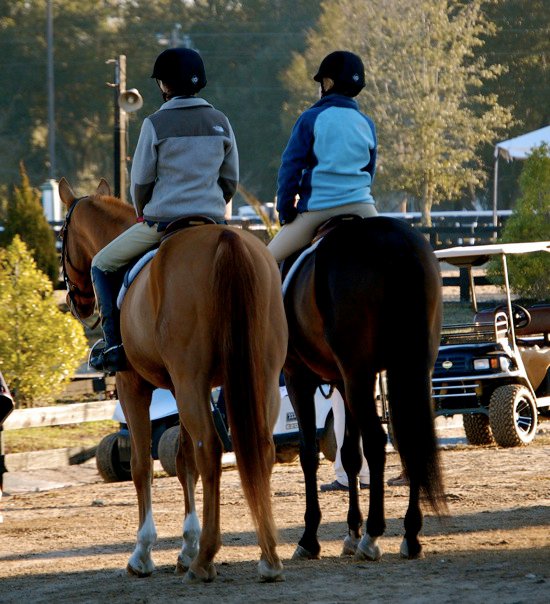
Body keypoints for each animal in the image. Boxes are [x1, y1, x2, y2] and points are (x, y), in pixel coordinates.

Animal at [58, 178, 288, 583]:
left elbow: (141, 465)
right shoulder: (180, 391)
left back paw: (205, 560)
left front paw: (143, 554)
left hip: (191, 380)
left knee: (211, 449)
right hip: (260, 375)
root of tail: (226, 240)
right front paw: (185, 547)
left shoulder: (134, 386)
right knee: (260, 447)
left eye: (61, 238)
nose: (78, 304)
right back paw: (268, 558)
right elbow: (182, 461)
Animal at [282, 215, 447, 562]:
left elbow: (309, 453)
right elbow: (349, 454)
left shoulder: (298, 378)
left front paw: (310, 538)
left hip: (357, 373)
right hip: (410, 369)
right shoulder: (344, 383)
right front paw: (351, 531)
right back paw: (410, 534)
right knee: (409, 439)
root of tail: (392, 240)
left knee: (376, 440)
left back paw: (372, 536)